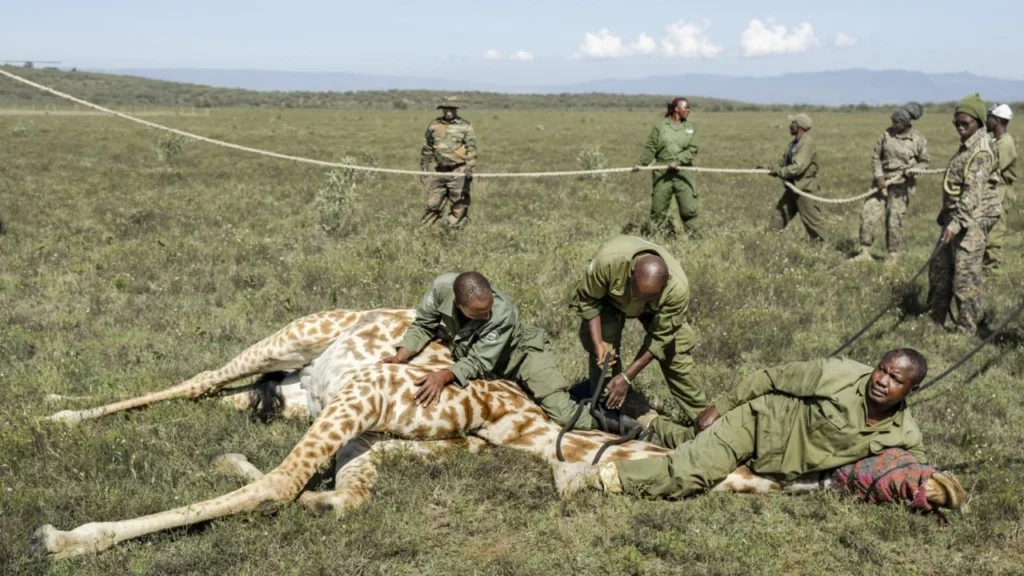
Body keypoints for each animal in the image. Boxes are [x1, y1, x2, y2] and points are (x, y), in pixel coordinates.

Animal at [34, 308, 965, 559]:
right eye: (901, 465)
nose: (950, 493)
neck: (531, 434)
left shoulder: (374, 432)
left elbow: (339, 498)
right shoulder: (363, 398)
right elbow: (278, 486)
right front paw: (66, 538)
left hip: (296, 391)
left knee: (233, 399)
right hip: (297, 335)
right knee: (200, 376)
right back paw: (55, 412)